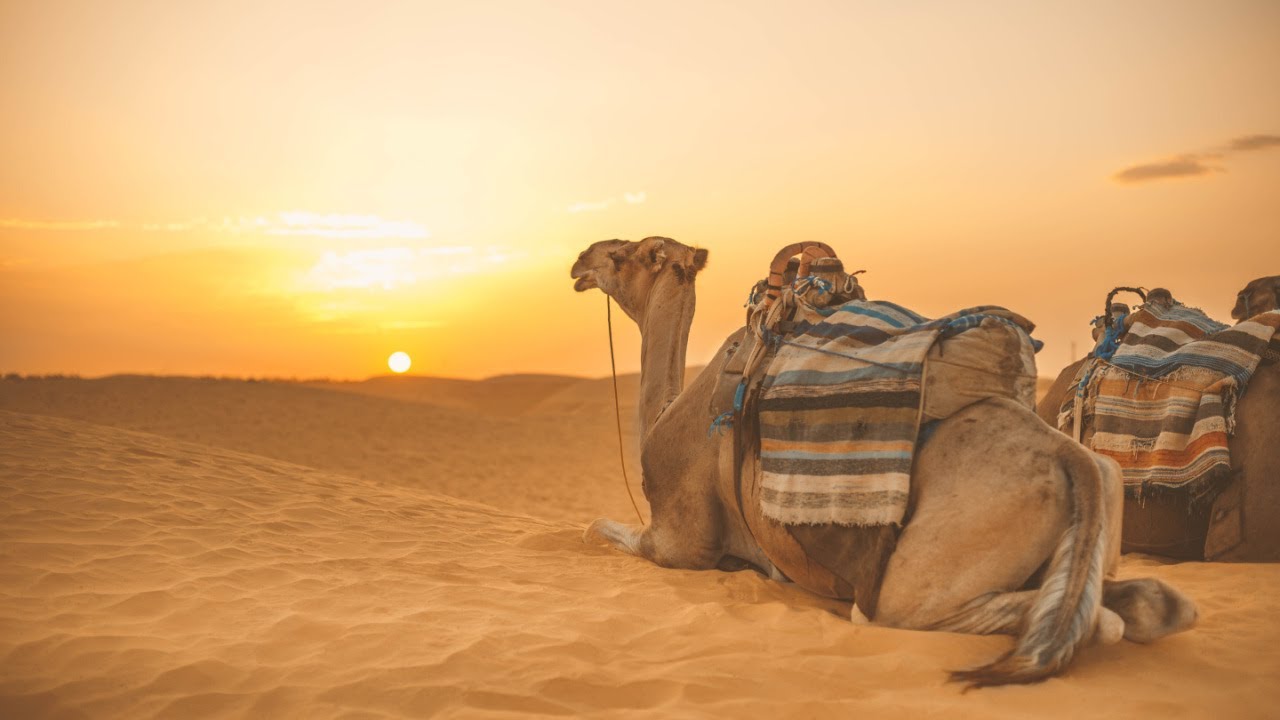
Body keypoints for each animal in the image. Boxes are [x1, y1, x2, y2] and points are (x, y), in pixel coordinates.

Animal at [571, 237, 1196, 687]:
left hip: (926, 570)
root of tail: (1075, 459)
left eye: (625, 254)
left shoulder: (679, 542)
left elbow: (599, 526)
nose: (581, 259)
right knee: (1150, 604)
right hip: (1096, 513)